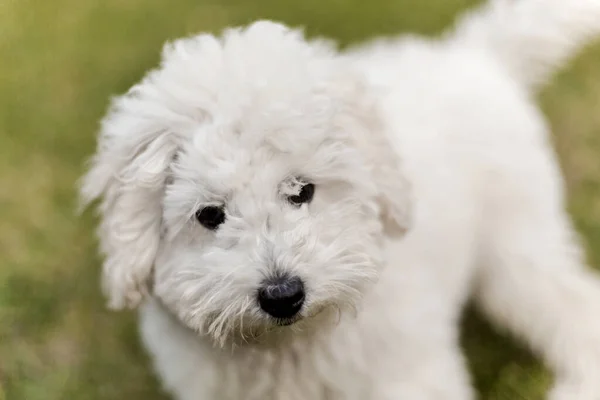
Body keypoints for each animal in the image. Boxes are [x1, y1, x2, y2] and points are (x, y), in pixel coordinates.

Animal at [81, 0, 600, 400]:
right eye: (210, 215)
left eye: (302, 191)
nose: (282, 296)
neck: (290, 347)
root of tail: (474, 55)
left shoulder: (406, 372)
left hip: (517, 239)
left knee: (573, 303)